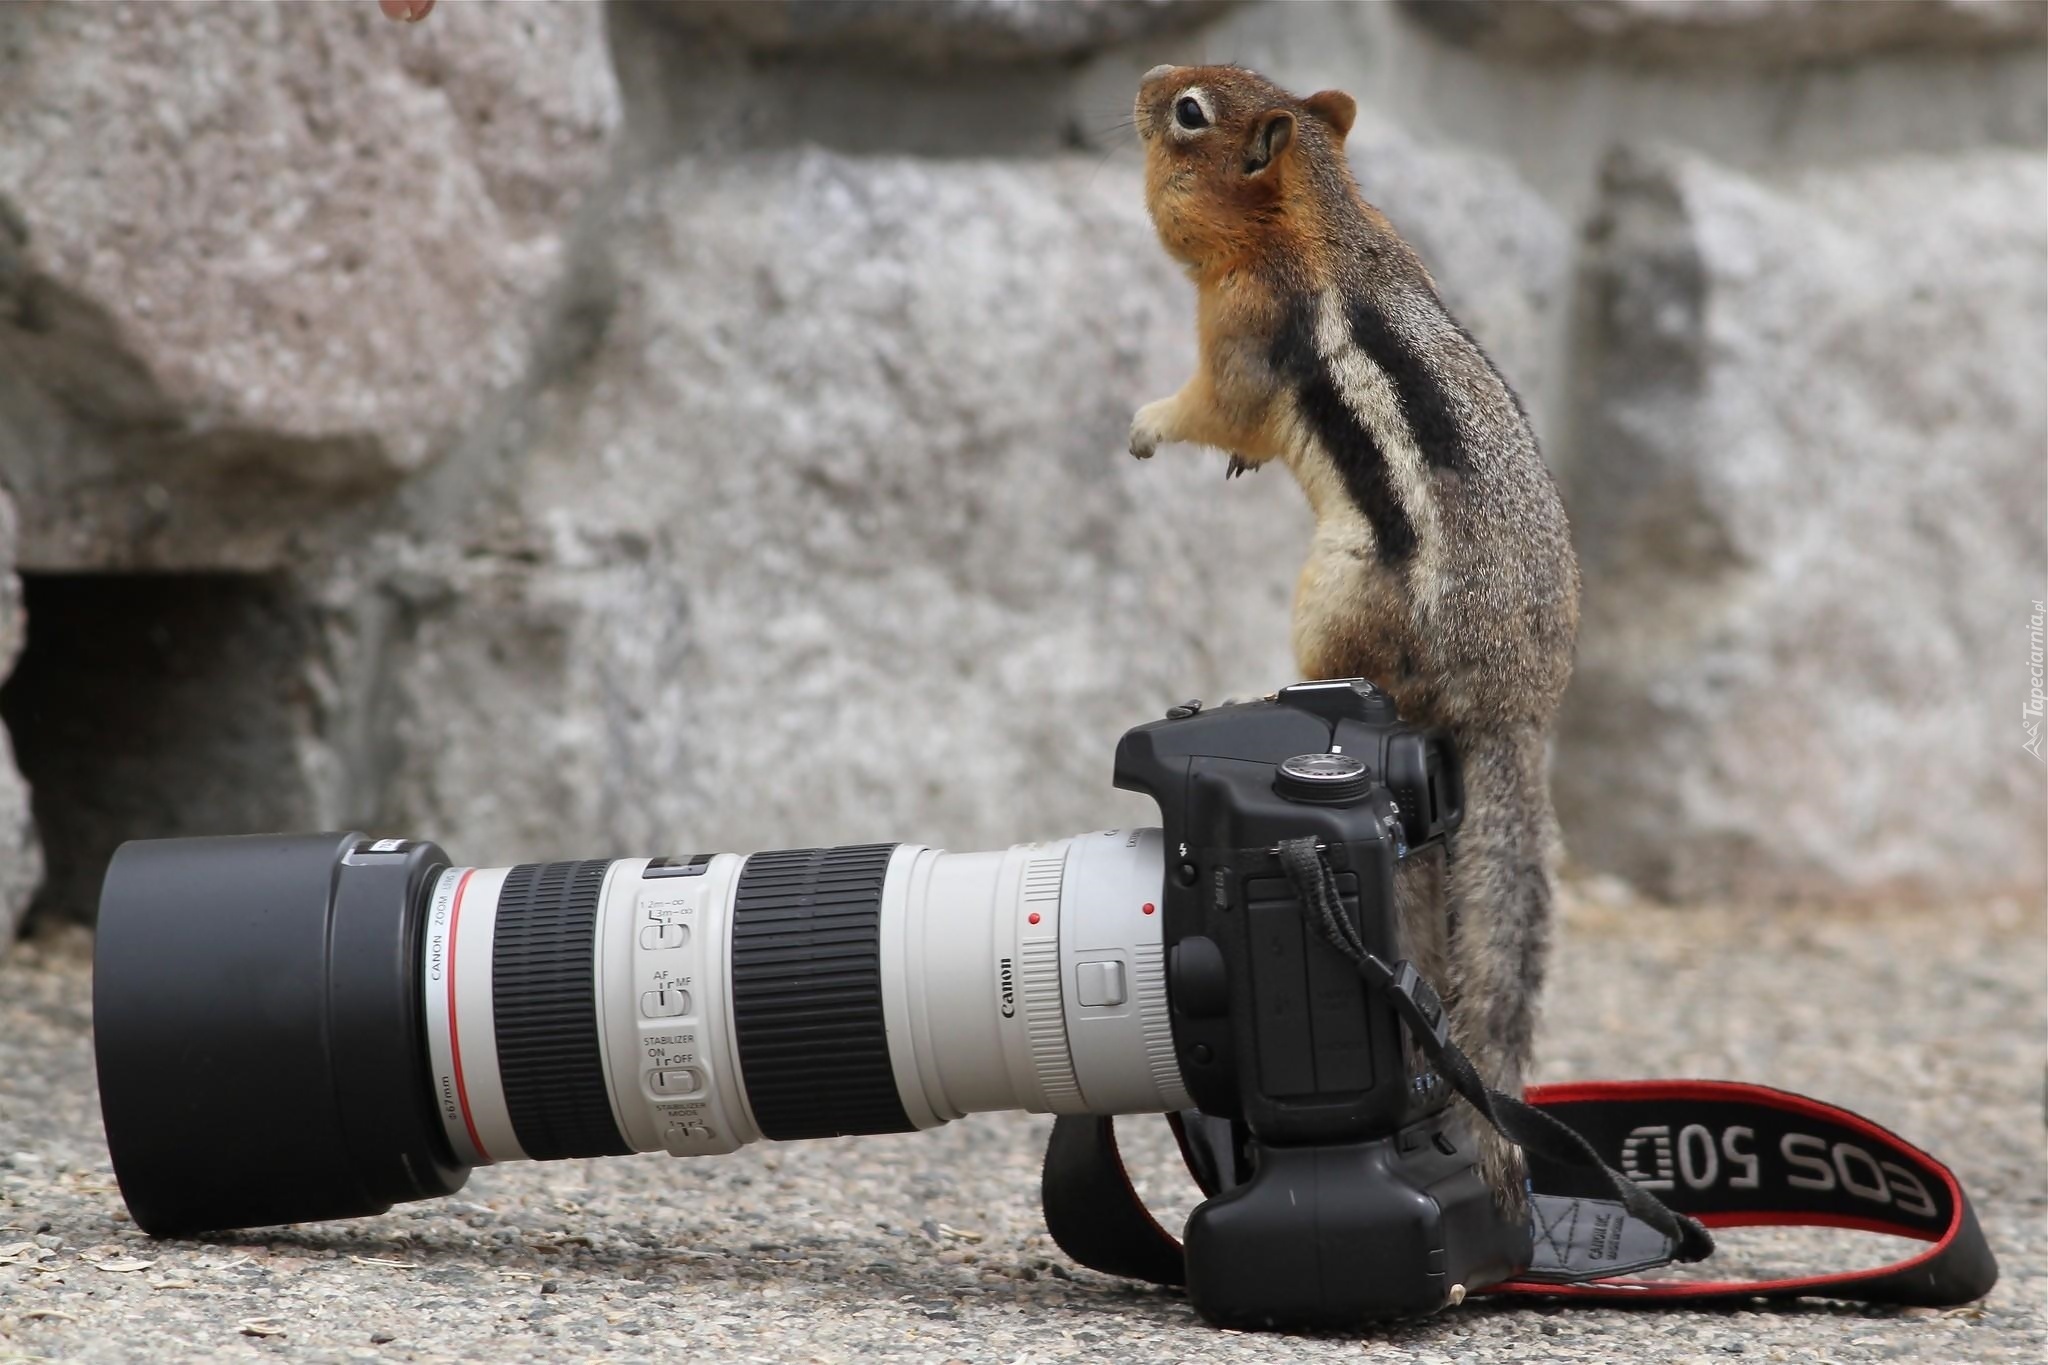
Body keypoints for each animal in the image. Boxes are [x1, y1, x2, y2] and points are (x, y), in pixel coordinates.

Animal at [1122, 63, 1581, 1219]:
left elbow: (1216, 408)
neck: (1320, 221)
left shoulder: (1239, 337)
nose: (1143, 81)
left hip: (1329, 599)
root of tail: (1516, 705)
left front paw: (1148, 423)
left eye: (1187, 112)